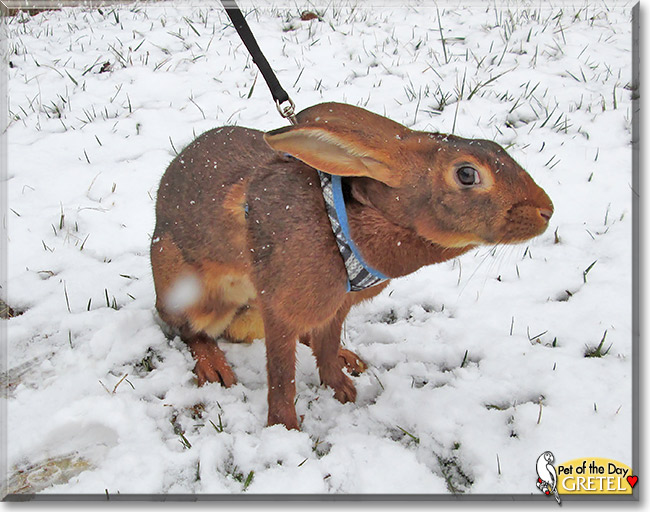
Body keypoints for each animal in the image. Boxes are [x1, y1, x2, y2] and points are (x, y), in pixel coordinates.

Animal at [151, 102, 553, 430]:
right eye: (467, 174)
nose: (546, 210)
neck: (343, 224)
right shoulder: (281, 307)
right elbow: (281, 374)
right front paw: (285, 427)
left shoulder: (339, 305)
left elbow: (327, 345)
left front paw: (341, 387)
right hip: (190, 290)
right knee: (188, 330)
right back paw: (214, 366)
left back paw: (348, 358)